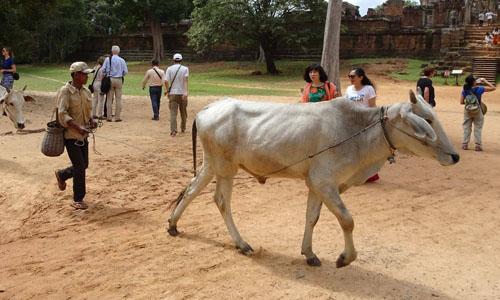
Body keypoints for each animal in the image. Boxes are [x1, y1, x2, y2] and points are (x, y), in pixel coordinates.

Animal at [169, 90, 460, 268]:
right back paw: (241, 243)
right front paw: (344, 258)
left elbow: (313, 217)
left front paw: (308, 253)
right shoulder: (324, 183)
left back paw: (173, 224)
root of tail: (209, 107)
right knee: (221, 200)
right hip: (224, 167)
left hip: (212, 165)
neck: (359, 131)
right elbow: (347, 220)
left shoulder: (316, 184)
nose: (455, 156)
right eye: (427, 119)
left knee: (192, 190)